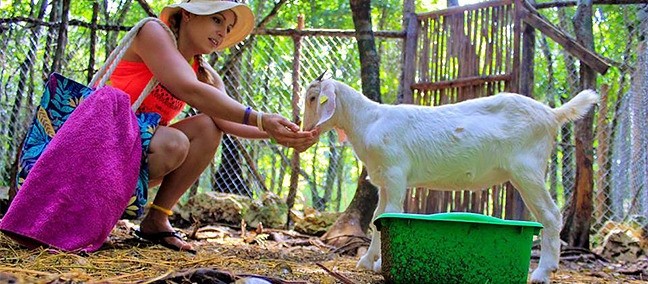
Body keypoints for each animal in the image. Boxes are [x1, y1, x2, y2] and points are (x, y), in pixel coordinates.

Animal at [302, 76, 600, 282]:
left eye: (313, 98)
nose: (306, 129)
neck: (369, 121)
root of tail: (552, 114)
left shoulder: (395, 174)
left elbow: (390, 214)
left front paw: (376, 264)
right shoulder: (383, 180)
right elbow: (377, 219)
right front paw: (367, 262)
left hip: (527, 170)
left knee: (551, 215)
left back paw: (542, 272)